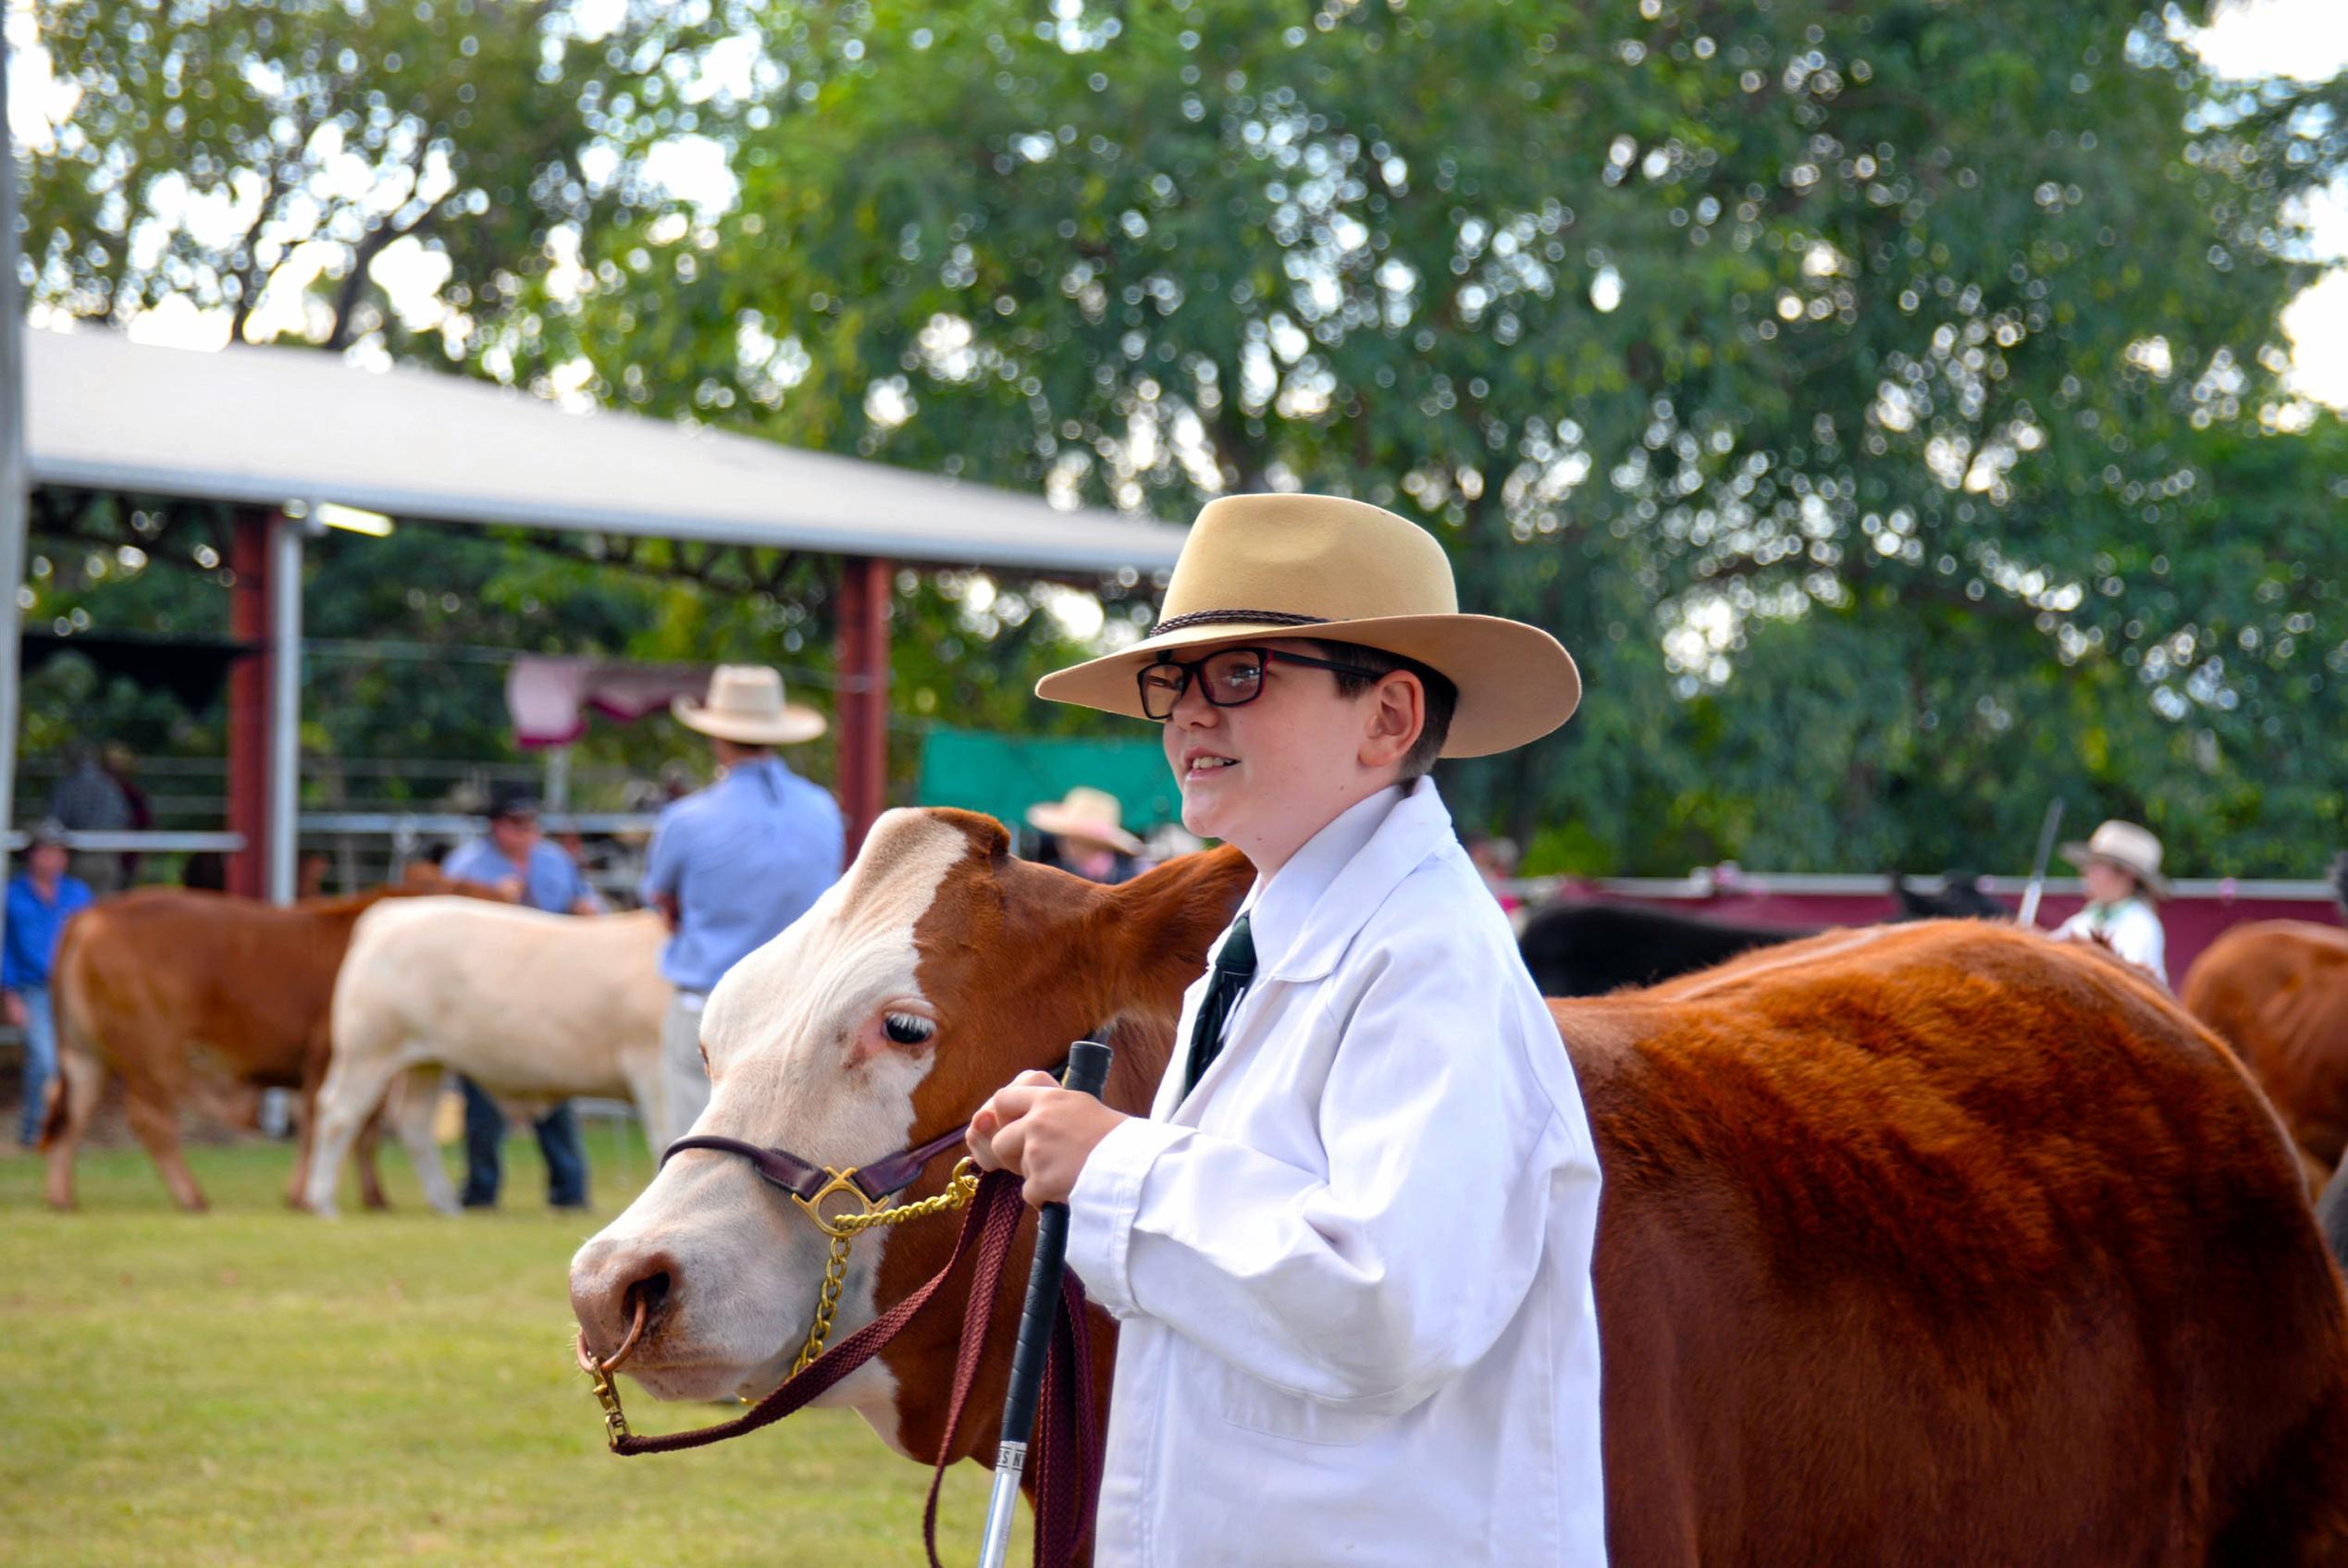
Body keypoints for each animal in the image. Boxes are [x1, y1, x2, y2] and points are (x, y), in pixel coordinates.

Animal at [41, 883, 401, 1211]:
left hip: (85, 1056)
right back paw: (192, 1197)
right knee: (149, 1121)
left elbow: (364, 1131)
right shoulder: (325, 1056)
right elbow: (322, 1125)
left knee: (69, 1113)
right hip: (153, 1055)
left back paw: (62, 1199)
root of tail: (95, 913)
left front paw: (374, 1198)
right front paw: (304, 1197)